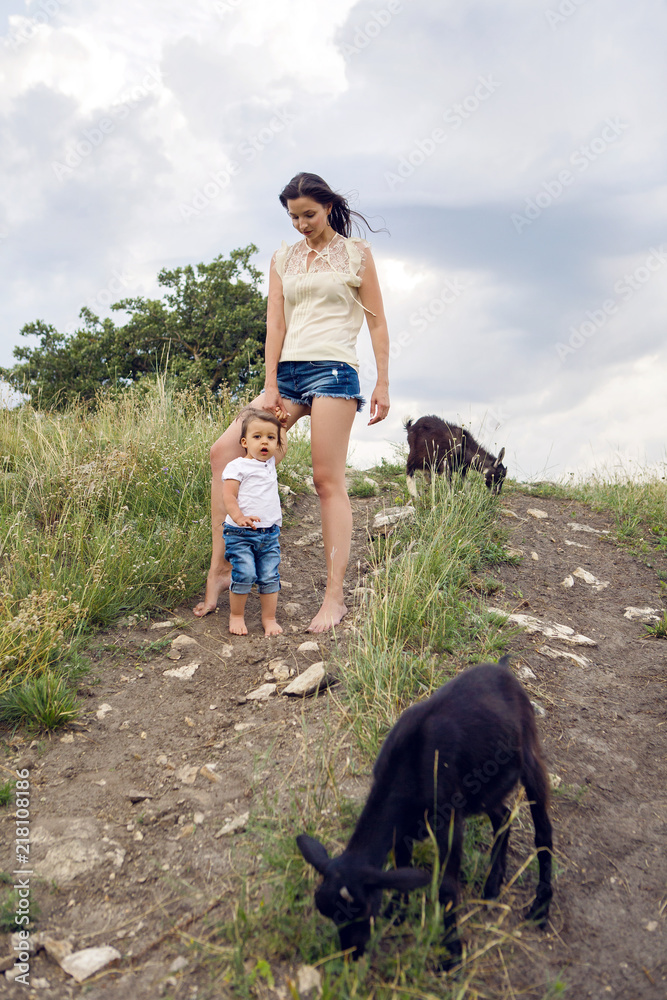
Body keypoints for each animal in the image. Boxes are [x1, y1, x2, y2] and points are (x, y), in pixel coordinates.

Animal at [298, 656, 552, 968]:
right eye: (327, 913)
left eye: (361, 909)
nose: (352, 954)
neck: (408, 767)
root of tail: (502, 668)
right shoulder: (404, 828)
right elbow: (400, 866)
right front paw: (398, 912)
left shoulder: (449, 823)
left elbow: (447, 887)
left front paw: (451, 953)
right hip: (484, 786)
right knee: (503, 817)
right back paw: (493, 885)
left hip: (529, 757)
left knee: (543, 832)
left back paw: (540, 907)